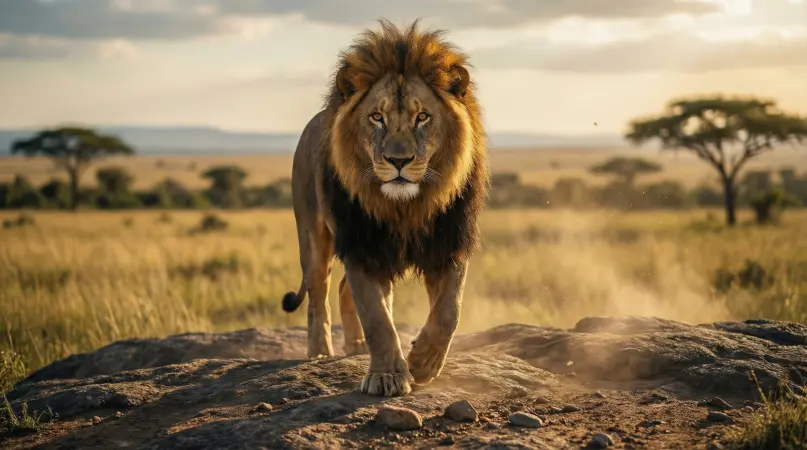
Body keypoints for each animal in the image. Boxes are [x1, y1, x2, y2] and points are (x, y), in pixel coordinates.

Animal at [280, 19, 489, 397]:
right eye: (377, 117)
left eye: (423, 117)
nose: (398, 160)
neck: (405, 207)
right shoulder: (361, 245)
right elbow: (378, 318)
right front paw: (387, 375)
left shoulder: (449, 242)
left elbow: (449, 311)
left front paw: (423, 362)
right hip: (313, 234)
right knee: (318, 294)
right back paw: (320, 352)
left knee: (342, 289)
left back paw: (355, 346)